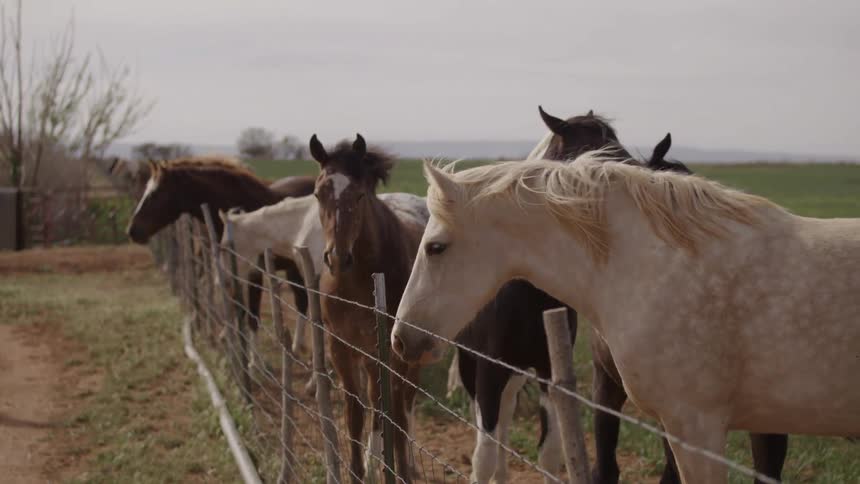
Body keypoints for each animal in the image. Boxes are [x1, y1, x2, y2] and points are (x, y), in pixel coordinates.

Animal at [126, 156, 315, 368]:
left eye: (155, 194)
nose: (132, 231)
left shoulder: (254, 273)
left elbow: (252, 316)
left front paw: (254, 361)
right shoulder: (231, 271)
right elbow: (237, 307)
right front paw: (232, 345)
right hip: (294, 268)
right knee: (301, 301)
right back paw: (296, 348)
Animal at [310, 134, 426, 483]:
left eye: (359, 194)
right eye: (318, 193)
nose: (337, 258)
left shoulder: (391, 352)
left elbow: (391, 412)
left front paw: (395, 468)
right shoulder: (341, 347)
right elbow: (356, 411)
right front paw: (358, 471)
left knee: (405, 403)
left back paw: (406, 462)